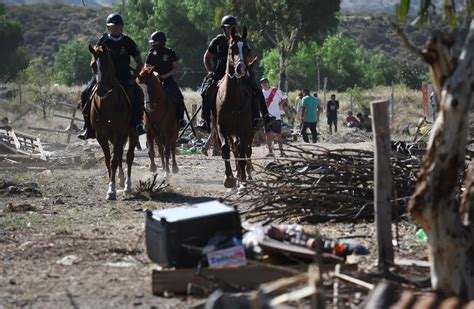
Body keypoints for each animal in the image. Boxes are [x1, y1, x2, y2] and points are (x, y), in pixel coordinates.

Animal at [87, 45, 138, 200]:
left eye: (107, 63)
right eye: (93, 65)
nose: (101, 90)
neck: (107, 104)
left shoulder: (119, 133)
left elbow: (114, 160)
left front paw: (112, 190)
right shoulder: (101, 135)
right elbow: (108, 160)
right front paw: (111, 186)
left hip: (132, 133)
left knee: (129, 156)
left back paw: (127, 186)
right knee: (120, 153)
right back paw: (121, 179)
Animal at [214, 28, 254, 188]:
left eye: (247, 49)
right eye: (232, 47)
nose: (241, 68)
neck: (232, 99)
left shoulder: (244, 129)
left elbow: (242, 151)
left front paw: (242, 180)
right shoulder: (221, 128)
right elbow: (225, 149)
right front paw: (229, 179)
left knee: (242, 150)